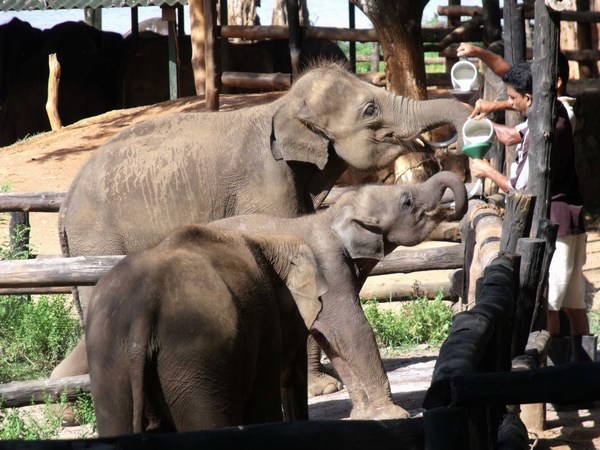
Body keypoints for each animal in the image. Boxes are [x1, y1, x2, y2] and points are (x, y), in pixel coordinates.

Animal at [85, 227, 324, 438]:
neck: (264, 241)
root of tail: (144, 309)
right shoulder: (266, 319)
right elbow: (262, 412)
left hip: (109, 359)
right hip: (195, 354)